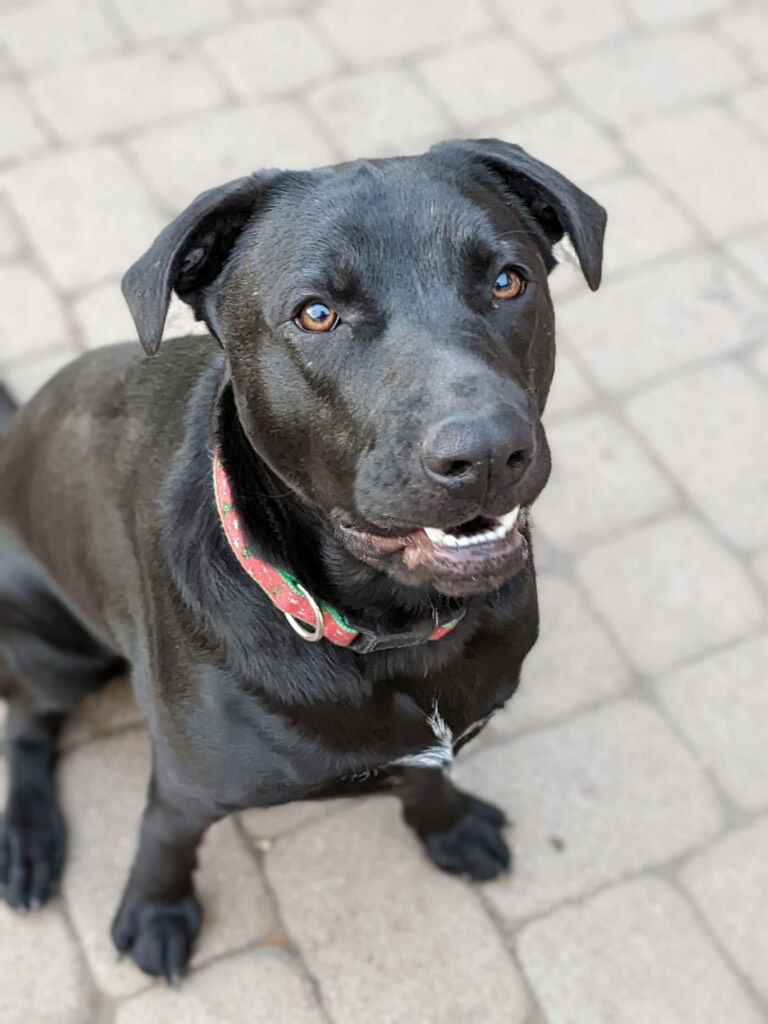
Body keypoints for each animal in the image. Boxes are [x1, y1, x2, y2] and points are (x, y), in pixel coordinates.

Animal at [0, 140, 606, 978]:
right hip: (53, 648)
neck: (390, 632)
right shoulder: (187, 781)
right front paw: (157, 908)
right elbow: (164, 835)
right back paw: (29, 838)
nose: (486, 452)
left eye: (507, 280)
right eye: (317, 314)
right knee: (26, 721)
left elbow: (427, 781)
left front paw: (447, 825)